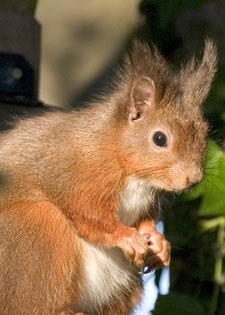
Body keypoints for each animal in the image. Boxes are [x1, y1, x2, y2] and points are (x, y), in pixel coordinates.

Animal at [0, 40, 218, 314]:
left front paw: (158, 241)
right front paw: (126, 237)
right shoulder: (80, 176)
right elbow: (90, 215)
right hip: (34, 232)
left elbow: (146, 218)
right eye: (160, 138)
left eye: (204, 133)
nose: (194, 179)